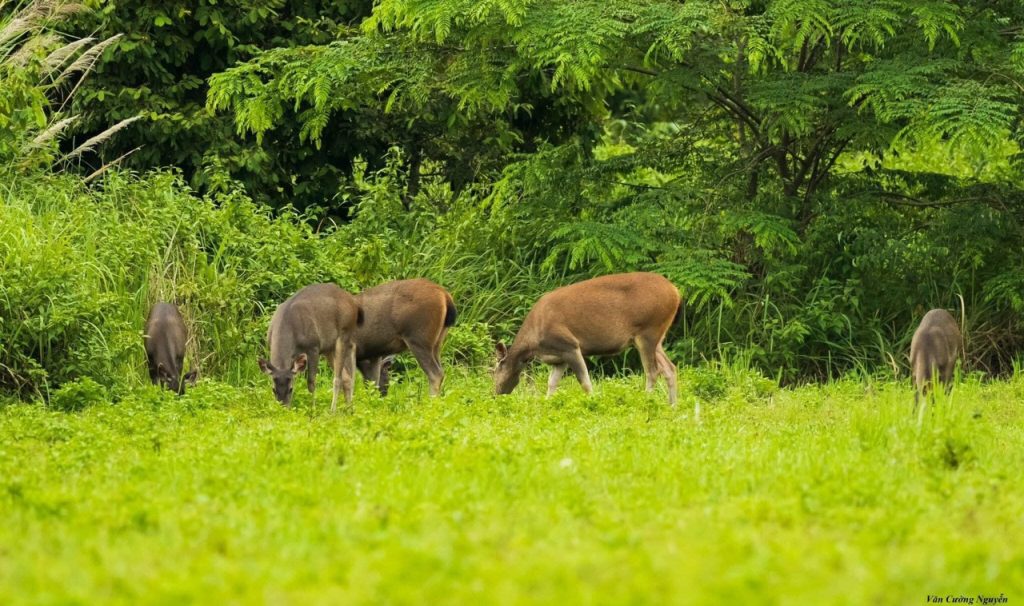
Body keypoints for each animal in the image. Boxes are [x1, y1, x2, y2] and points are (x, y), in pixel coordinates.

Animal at [493, 272, 679, 405]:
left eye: (494, 371)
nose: (495, 394)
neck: (533, 344)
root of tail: (675, 292)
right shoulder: (559, 359)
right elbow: (551, 383)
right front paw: (547, 404)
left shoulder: (570, 345)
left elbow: (585, 382)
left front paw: (593, 403)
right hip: (657, 337)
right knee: (670, 368)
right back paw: (673, 406)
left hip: (648, 330)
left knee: (653, 371)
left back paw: (647, 401)